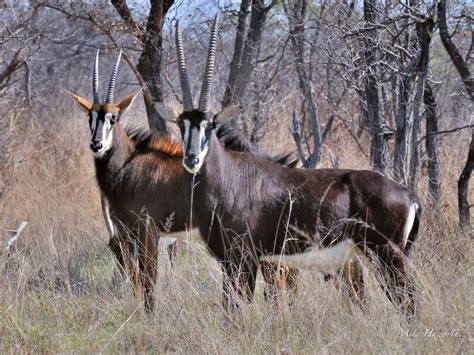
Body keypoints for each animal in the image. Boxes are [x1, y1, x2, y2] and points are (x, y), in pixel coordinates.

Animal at [67, 49, 302, 312]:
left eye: (113, 117)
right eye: (90, 117)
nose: (97, 145)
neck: (129, 164)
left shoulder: (148, 231)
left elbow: (148, 280)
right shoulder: (128, 233)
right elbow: (138, 280)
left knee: (277, 278)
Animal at [167, 16, 422, 318]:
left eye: (210, 124)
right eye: (181, 124)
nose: (192, 158)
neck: (229, 178)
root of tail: (409, 196)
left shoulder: (246, 258)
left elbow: (239, 310)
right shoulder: (232, 261)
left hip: (387, 256)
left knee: (409, 302)